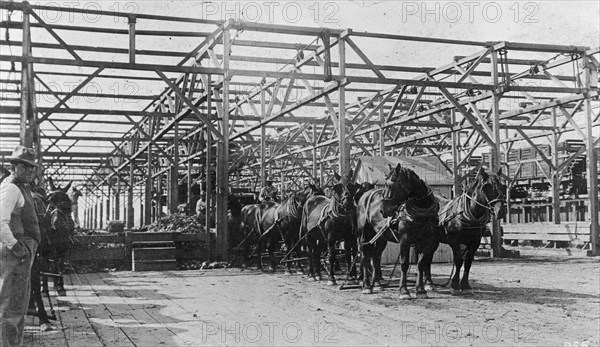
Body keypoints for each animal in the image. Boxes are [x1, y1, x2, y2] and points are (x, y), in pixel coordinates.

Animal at [354, 164, 438, 300]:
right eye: (385, 183)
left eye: (391, 184)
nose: (383, 210)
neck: (422, 209)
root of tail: (365, 196)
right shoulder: (405, 239)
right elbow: (404, 264)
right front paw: (404, 291)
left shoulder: (426, 240)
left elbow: (421, 263)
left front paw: (420, 290)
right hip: (364, 234)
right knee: (365, 255)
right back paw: (366, 286)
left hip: (381, 237)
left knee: (375, 257)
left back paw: (377, 284)